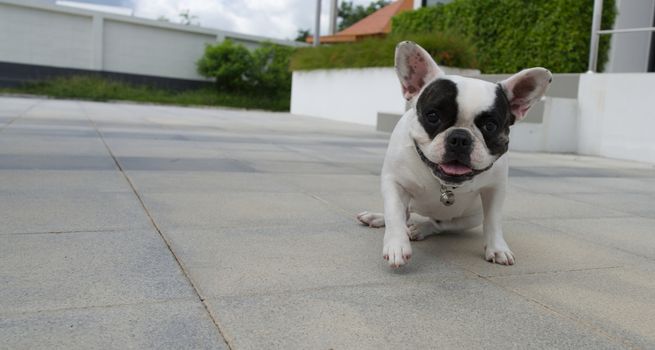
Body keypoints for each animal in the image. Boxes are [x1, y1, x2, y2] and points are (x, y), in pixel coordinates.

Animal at [358, 42, 552, 268]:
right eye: (433, 116)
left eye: (490, 126)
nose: (460, 138)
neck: (443, 184)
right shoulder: (394, 183)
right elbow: (394, 214)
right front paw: (396, 245)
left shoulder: (494, 190)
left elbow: (493, 220)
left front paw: (497, 248)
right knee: (404, 214)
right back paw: (378, 218)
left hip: (469, 218)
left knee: (439, 224)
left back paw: (420, 229)